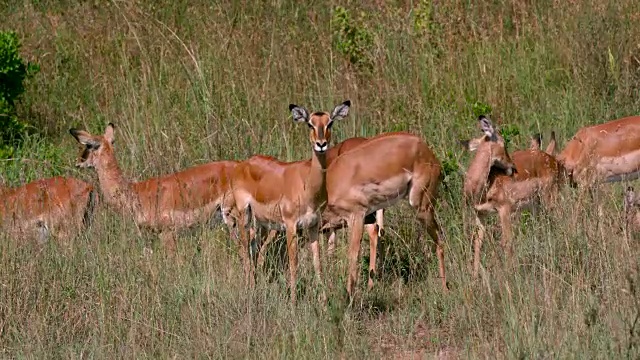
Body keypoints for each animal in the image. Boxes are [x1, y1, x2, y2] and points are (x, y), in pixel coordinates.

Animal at [232, 100, 350, 302]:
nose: (321, 144)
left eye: (330, 123)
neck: (307, 185)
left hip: (262, 224)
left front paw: (324, 301)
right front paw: (294, 302)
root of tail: (244, 164)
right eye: (310, 124)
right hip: (244, 216)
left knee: (255, 250)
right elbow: (293, 263)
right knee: (244, 250)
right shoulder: (291, 226)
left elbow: (317, 263)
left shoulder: (313, 226)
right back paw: (248, 291)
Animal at [462, 115, 564, 276]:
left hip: (550, 197)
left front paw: (509, 274)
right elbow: (477, 243)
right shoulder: (480, 214)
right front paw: (474, 277)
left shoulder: (504, 209)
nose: (512, 167)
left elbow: (506, 242)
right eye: (503, 143)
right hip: (536, 205)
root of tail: (553, 159)